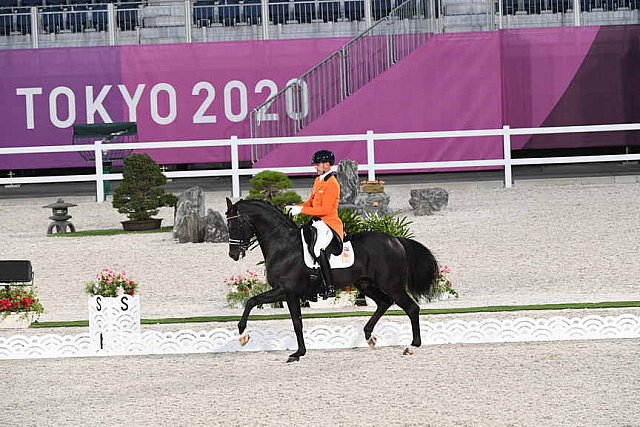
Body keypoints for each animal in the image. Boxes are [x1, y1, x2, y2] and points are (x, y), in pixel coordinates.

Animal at [222, 199, 438, 362]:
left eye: (234, 225)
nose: (233, 255)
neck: (284, 246)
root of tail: (395, 240)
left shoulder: (286, 291)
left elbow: (259, 304)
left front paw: (243, 335)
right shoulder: (287, 293)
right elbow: (289, 318)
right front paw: (298, 352)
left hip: (392, 285)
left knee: (411, 308)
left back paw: (411, 346)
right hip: (365, 283)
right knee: (384, 303)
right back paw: (369, 336)